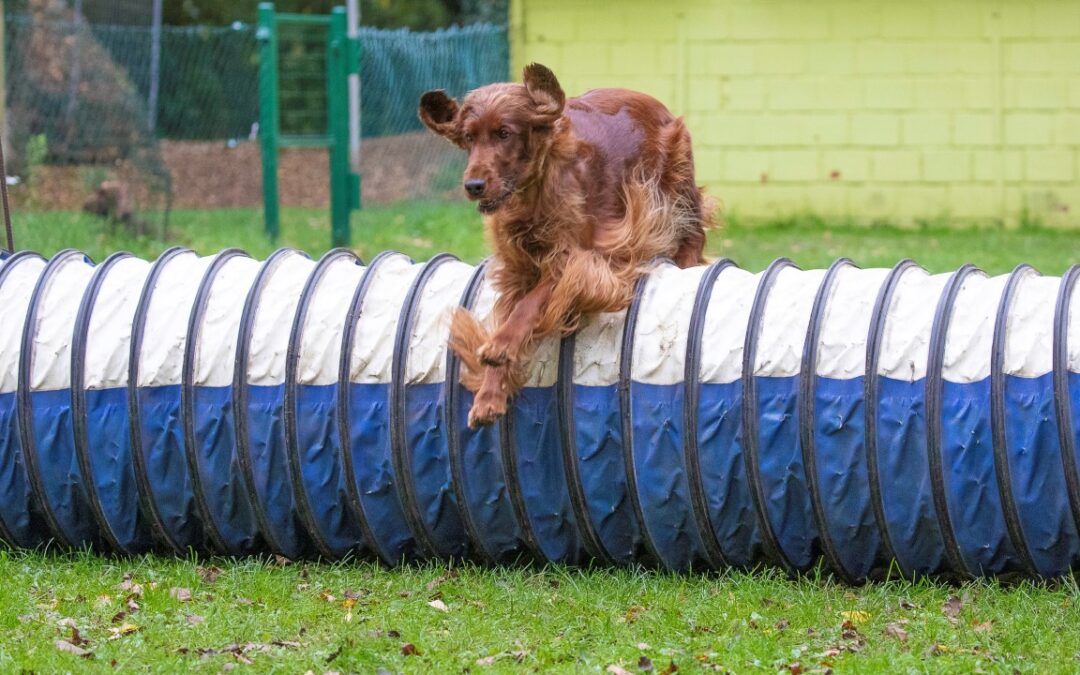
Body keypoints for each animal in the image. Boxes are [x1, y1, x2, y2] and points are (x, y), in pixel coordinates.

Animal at [416, 63, 712, 425]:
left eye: (504, 133)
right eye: (470, 137)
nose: (473, 185)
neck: (533, 190)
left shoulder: (586, 256)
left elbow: (531, 303)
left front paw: (501, 346)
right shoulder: (517, 269)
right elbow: (513, 310)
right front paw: (489, 395)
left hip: (678, 187)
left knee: (692, 237)